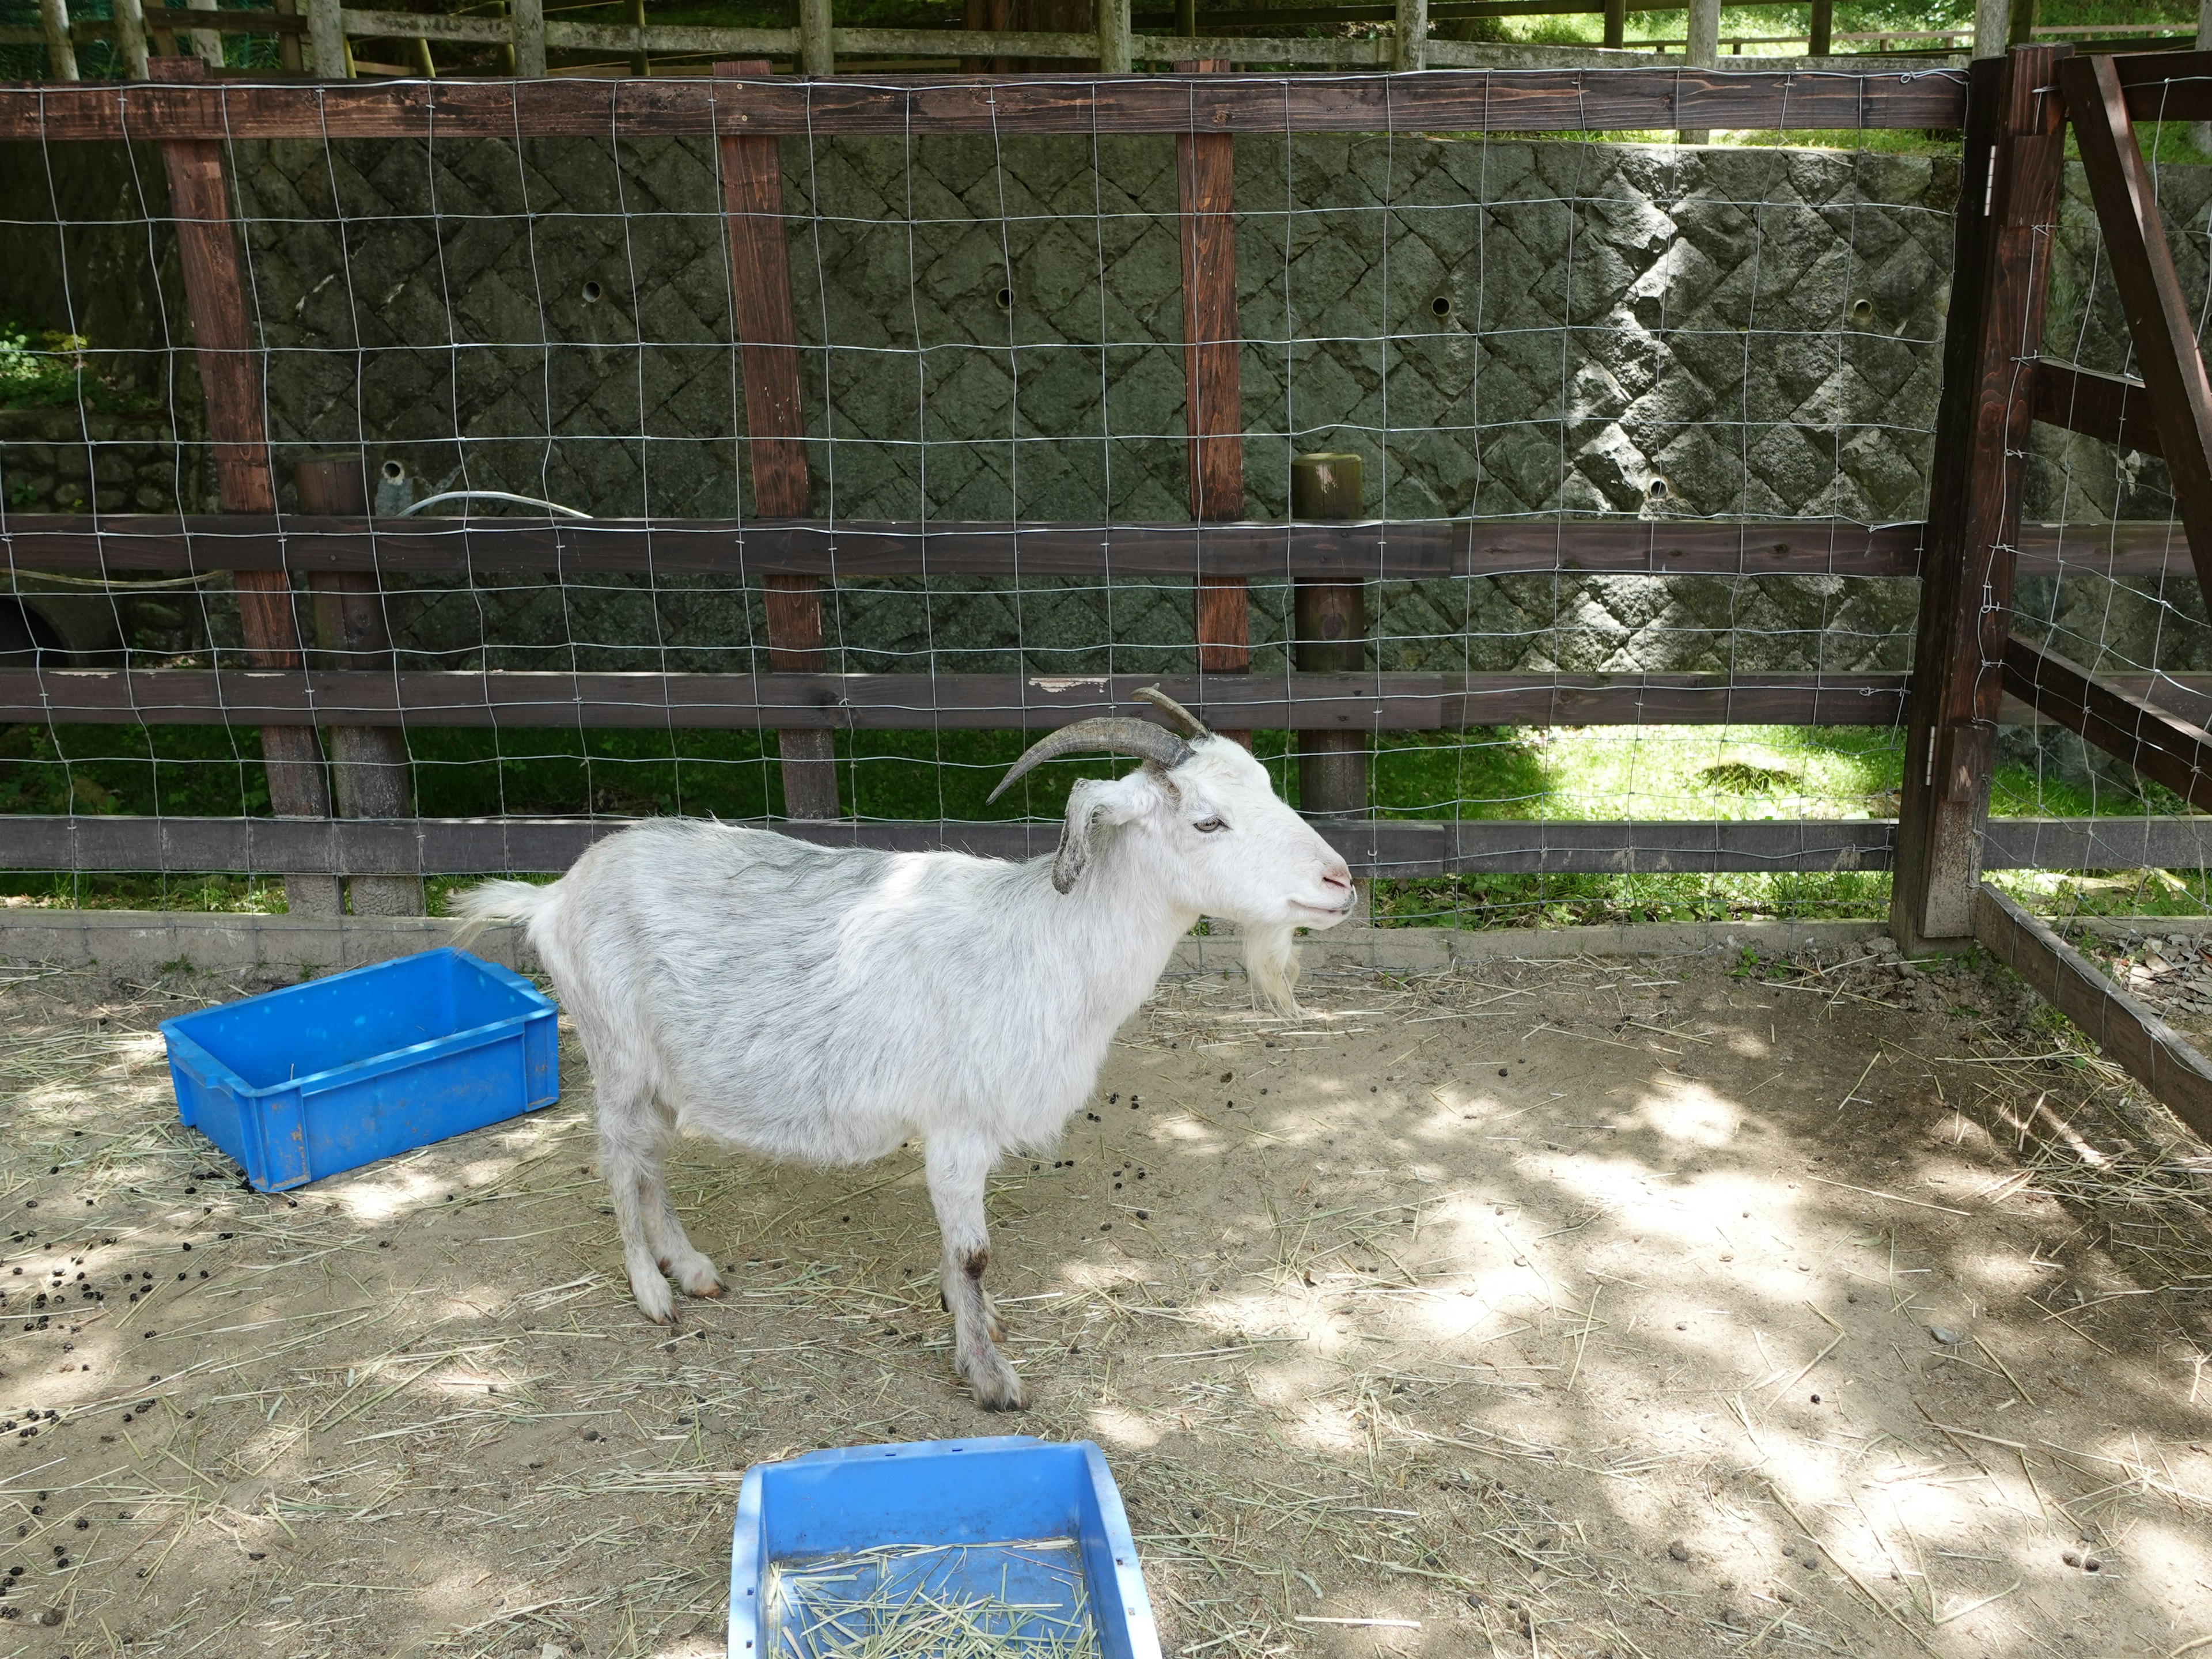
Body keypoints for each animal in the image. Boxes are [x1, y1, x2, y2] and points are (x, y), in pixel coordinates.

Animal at [449, 690, 1344, 1407]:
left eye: (1269, 787)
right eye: (1207, 820)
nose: (1339, 882)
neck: (1044, 942)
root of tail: (554, 897)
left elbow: (963, 1259)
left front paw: (977, 1327)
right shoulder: (957, 1128)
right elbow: (975, 1254)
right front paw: (991, 1379)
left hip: (663, 1074)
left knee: (650, 1164)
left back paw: (693, 1269)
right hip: (617, 1055)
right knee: (617, 1163)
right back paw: (650, 1292)